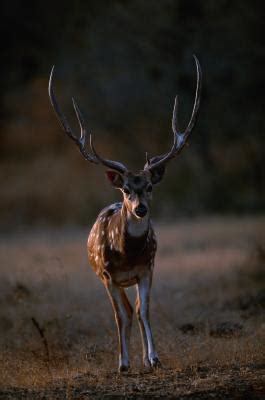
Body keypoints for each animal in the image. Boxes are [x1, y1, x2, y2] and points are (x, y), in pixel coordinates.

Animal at [48, 54, 200, 374]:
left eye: (150, 186)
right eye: (126, 188)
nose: (140, 208)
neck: (127, 254)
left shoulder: (147, 267)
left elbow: (145, 312)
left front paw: (153, 358)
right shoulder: (107, 275)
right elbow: (121, 316)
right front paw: (123, 363)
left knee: (138, 309)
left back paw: (145, 358)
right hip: (109, 279)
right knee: (126, 312)